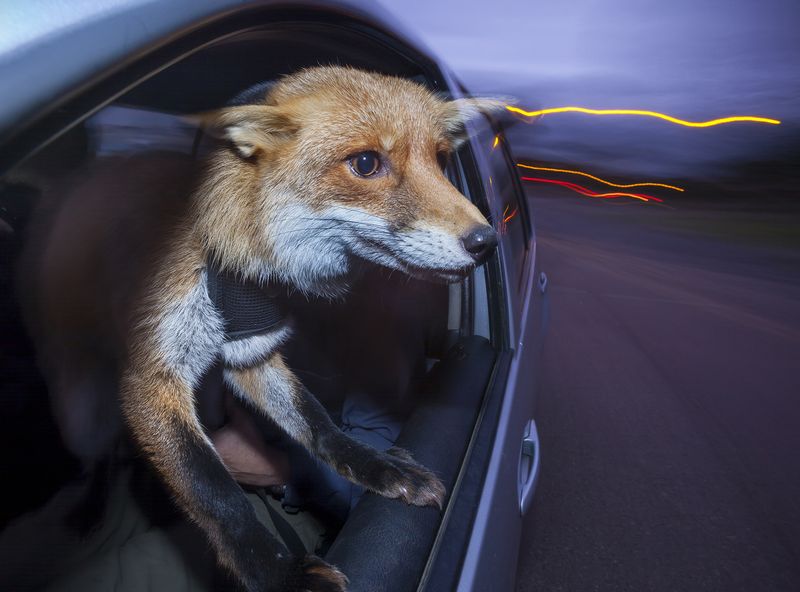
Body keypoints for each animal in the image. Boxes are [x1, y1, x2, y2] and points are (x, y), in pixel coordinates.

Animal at [21, 66, 501, 592]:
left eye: (441, 159)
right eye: (366, 163)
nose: (487, 242)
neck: (233, 262)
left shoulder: (252, 352)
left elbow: (318, 425)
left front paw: (380, 467)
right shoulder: (153, 378)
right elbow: (214, 490)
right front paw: (277, 573)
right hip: (79, 409)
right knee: (98, 458)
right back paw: (91, 509)